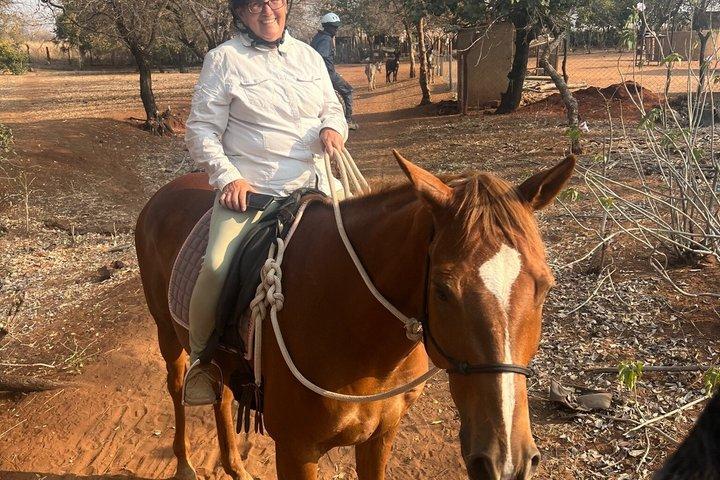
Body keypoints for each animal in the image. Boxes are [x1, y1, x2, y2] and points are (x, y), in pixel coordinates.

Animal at [135, 151, 575, 480]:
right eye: (443, 289)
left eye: (545, 286)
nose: (506, 461)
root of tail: (162, 194)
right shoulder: (295, 451)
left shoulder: (380, 437)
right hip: (167, 334)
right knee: (178, 387)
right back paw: (185, 464)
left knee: (222, 396)